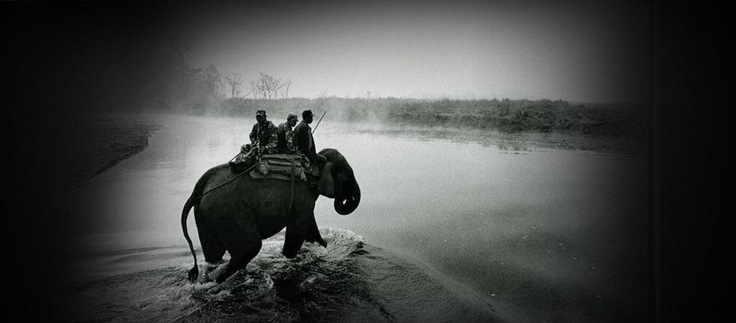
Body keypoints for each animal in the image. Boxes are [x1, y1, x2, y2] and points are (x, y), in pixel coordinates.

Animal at [181, 149, 360, 284]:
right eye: (349, 177)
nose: (346, 198)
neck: (314, 159)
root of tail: (199, 187)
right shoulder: (302, 196)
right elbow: (297, 230)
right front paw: (290, 258)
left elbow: (310, 228)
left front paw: (324, 246)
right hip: (228, 212)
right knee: (249, 248)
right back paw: (218, 280)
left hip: (206, 214)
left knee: (213, 253)